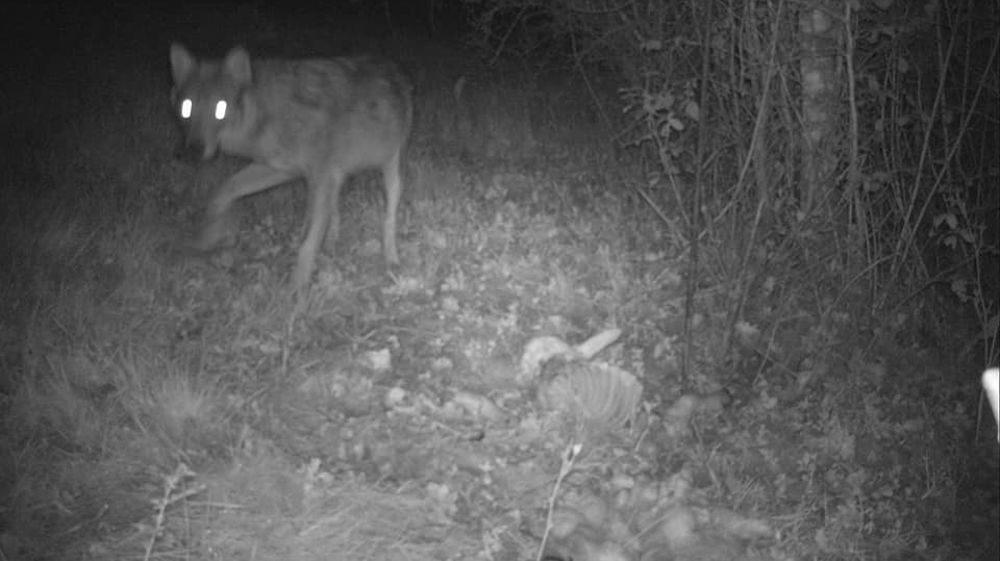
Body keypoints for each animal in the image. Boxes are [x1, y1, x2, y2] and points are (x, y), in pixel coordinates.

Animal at [169, 43, 413, 288]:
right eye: (186, 107)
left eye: (221, 108)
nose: (193, 150)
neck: (268, 114)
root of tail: (389, 63)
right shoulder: (282, 170)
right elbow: (222, 191)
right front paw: (207, 236)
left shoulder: (319, 177)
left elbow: (307, 243)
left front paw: (296, 289)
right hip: (333, 181)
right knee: (334, 212)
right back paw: (331, 244)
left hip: (391, 175)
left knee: (388, 219)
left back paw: (392, 260)